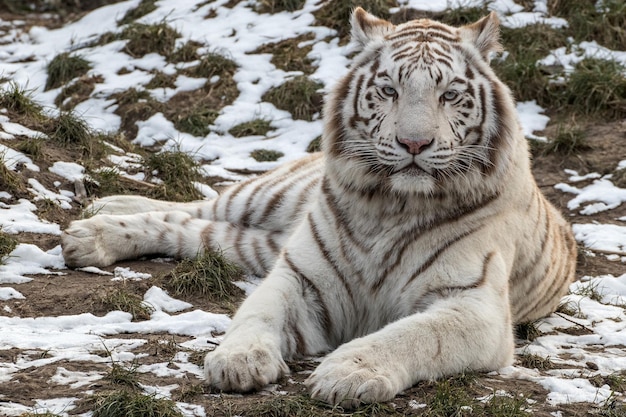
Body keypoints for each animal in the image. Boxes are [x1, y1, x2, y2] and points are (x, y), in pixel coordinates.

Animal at [62, 8, 576, 408]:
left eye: (449, 94)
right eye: (389, 90)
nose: (414, 143)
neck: (393, 205)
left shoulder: (474, 305)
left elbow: (412, 334)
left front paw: (347, 373)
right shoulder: (299, 275)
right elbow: (257, 312)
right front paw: (238, 359)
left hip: (251, 244)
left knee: (189, 229)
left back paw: (91, 233)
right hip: (265, 198)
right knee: (198, 204)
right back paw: (98, 217)